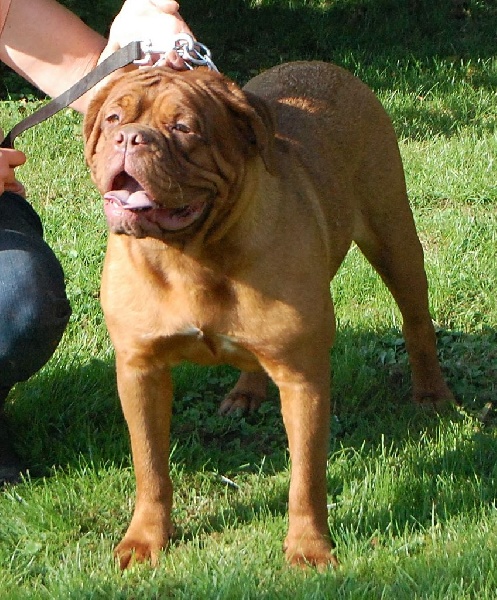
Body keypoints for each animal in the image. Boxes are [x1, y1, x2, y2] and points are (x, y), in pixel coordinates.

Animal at [83, 63, 452, 568]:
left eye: (184, 128)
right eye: (114, 119)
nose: (130, 138)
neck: (191, 256)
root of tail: (325, 67)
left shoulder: (303, 378)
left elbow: (306, 479)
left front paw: (309, 548)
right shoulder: (140, 371)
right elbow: (150, 467)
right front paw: (145, 540)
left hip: (394, 237)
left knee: (416, 320)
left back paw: (432, 394)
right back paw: (246, 392)